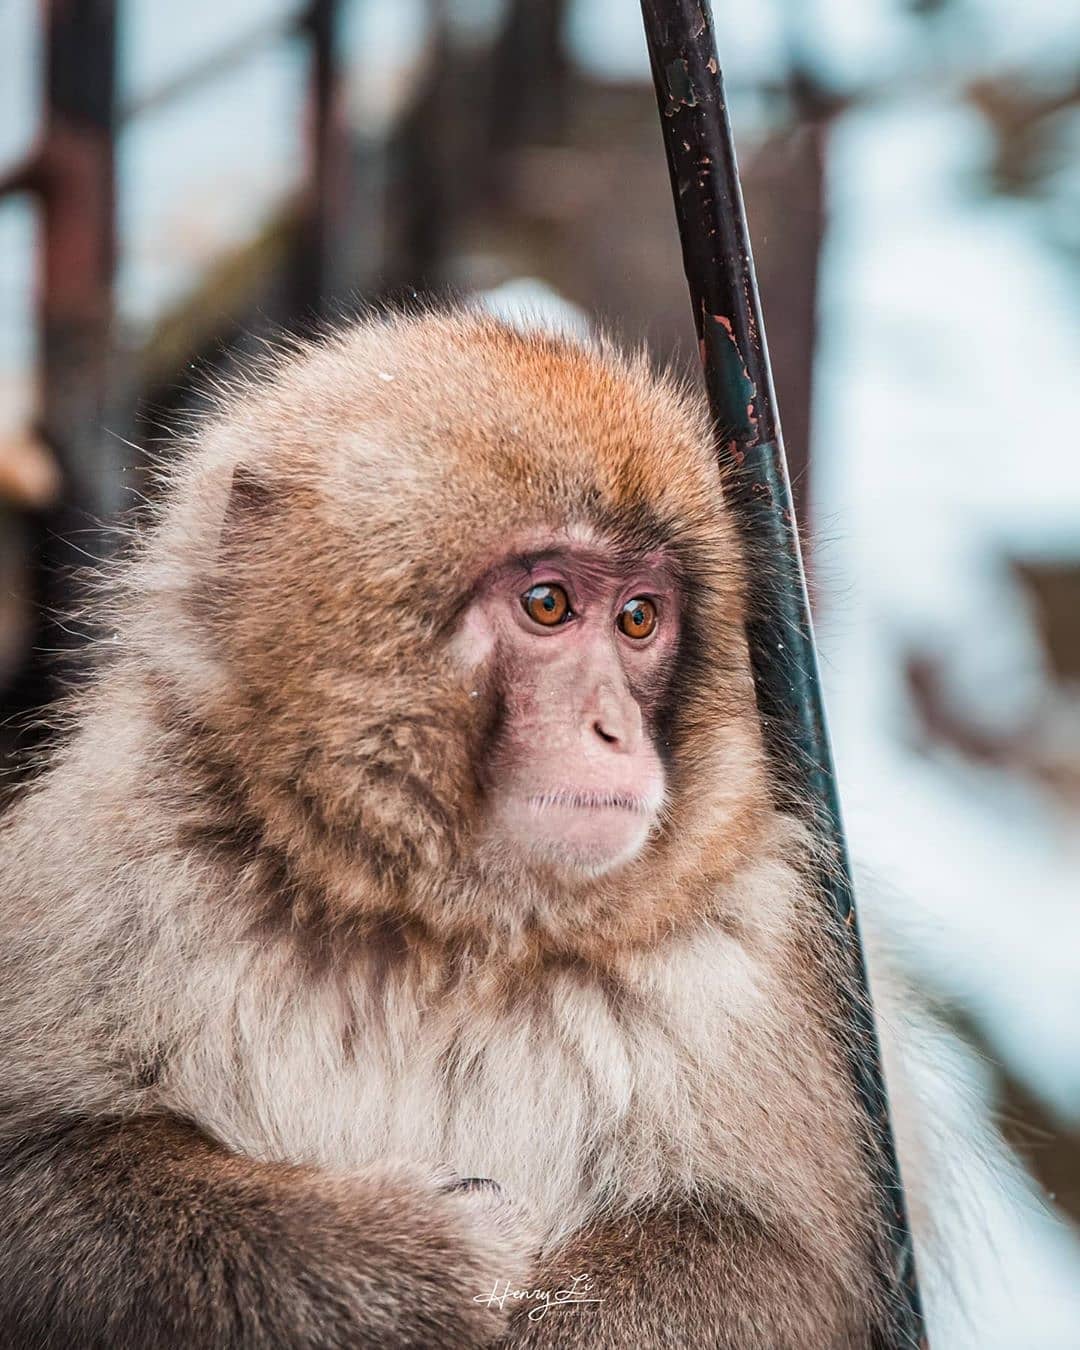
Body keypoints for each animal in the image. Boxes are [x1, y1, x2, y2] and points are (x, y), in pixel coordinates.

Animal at [0, 310, 912, 1344]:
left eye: (639, 618)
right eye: (548, 603)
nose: (614, 727)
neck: (441, 927)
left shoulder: (756, 955)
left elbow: (764, 1257)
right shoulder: (113, 853)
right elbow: (38, 1170)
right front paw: (416, 1266)